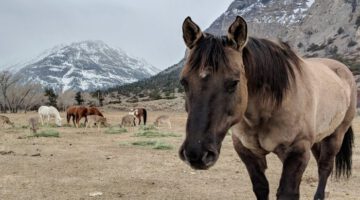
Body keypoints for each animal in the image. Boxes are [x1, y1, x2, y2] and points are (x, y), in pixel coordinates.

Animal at [179, 15, 356, 200]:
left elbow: (287, 193)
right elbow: (261, 187)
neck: (269, 108)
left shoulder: (298, 151)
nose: (196, 154)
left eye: (234, 82)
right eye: (184, 82)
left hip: (335, 135)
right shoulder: (247, 151)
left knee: (325, 167)